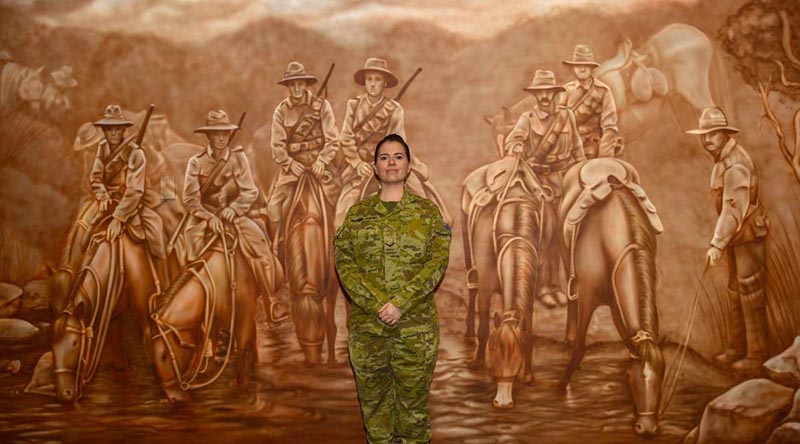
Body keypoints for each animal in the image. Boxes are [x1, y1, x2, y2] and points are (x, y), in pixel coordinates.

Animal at [50, 220, 164, 404]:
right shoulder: (114, 318)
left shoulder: (146, 316)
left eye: (75, 343)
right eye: (52, 346)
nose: (63, 394)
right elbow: (120, 363)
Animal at [150, 229, 260, 402]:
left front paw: (240, 385)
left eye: (164, 357)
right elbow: (205, 347)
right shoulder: (208, 322)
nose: (172, 398)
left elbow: (242, 347)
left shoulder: (243, 319)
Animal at [462, 156, 552, 410]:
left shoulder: (530, 287)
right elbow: (484, 327)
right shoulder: (485, 287)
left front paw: (528, 375)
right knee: (471, 289)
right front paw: (478, 361)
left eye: (517, 358)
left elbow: (528, 328)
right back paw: (469, 332)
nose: (502, 402)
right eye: (494, 353)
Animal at [552, 158, 664, 436]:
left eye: (662, 376)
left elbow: (627, 339)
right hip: (565, 261)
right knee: (571, 303)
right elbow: (579, 349)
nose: (647, 427)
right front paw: (561, 386)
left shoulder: (617, 303)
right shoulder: (588, 297)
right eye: (636, 378)